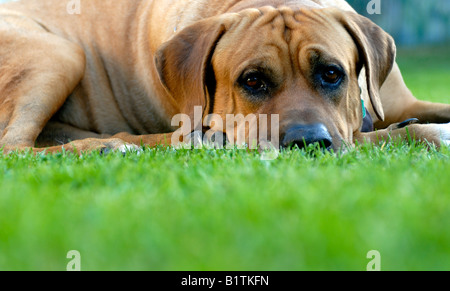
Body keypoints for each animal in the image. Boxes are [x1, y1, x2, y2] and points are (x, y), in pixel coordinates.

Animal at [0, 0, 450, 155]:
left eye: (331, 73)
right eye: (252, 81)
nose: (307, 142)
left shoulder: (399, 100)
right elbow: (384, 135)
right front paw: (424, 133)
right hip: (59, 53)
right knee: (14, 148)